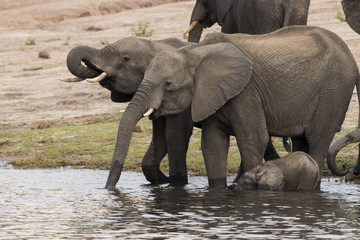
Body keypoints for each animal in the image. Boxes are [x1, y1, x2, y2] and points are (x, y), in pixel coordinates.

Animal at [60, 37, 193, 189]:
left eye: (126, 58)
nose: (109, 188)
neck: (153, 44)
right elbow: (160, 138)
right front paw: (164, 181)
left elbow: (176, 134)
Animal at [107, 25, 360, 188]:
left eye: (168, 84)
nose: (109, 188)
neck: (194, 52)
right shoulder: (210, 94)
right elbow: (212, 143)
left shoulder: (246, 91)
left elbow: (252, 138)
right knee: (302, 141)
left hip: (333, 91)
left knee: (318, 139)